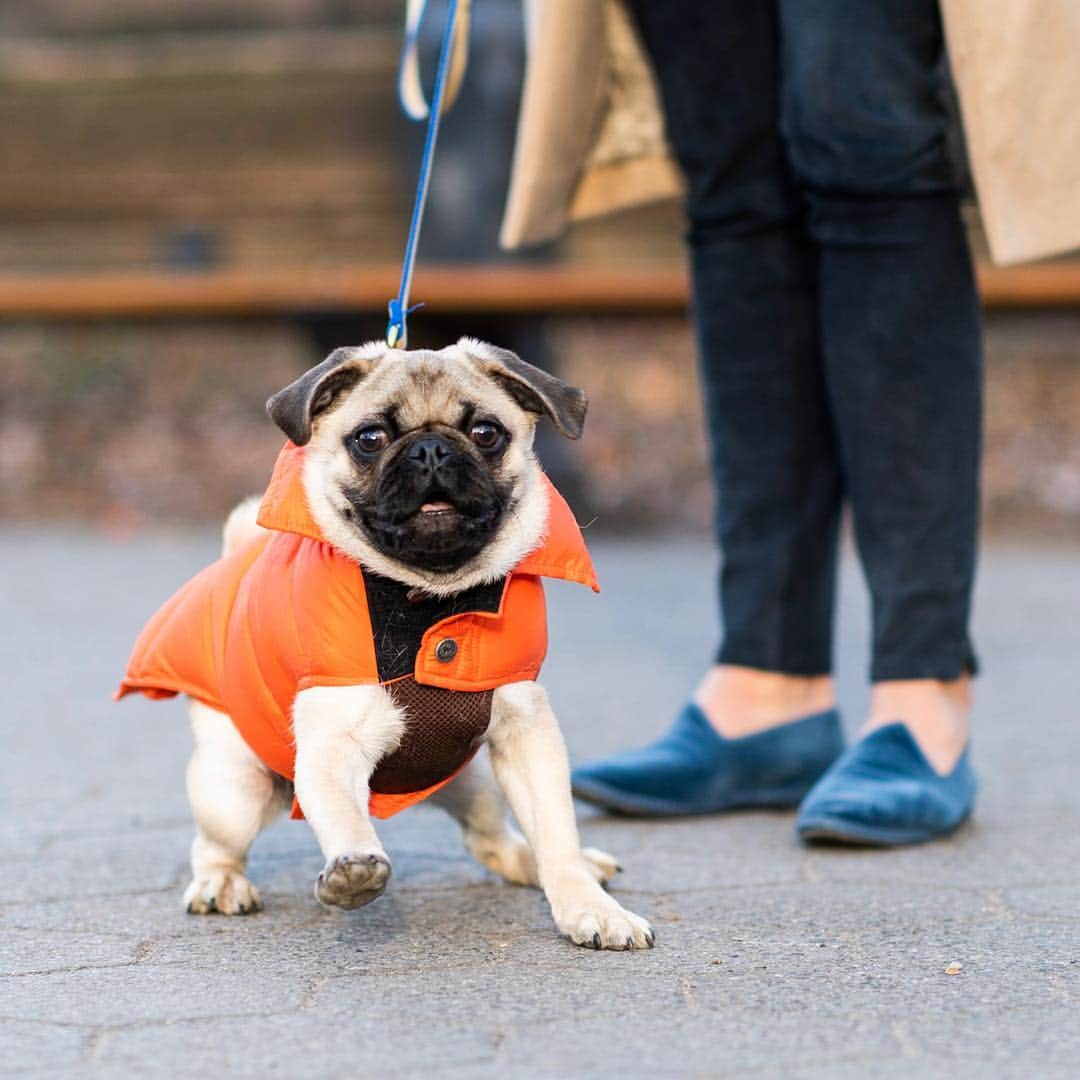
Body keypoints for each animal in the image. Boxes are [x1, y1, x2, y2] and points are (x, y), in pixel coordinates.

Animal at [177, 339, 652, 954]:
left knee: (493, 839)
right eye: (370, 438)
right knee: (215, 843)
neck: (429, 601)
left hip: (473, 780)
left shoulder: (528, 739)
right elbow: (345, 817)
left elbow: (557, 834)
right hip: (234, 787)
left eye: (486, 433)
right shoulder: (332, 746)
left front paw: (588, 905)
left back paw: (541, 866)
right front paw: (354, 870)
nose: (430, 449)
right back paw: (220, 884)